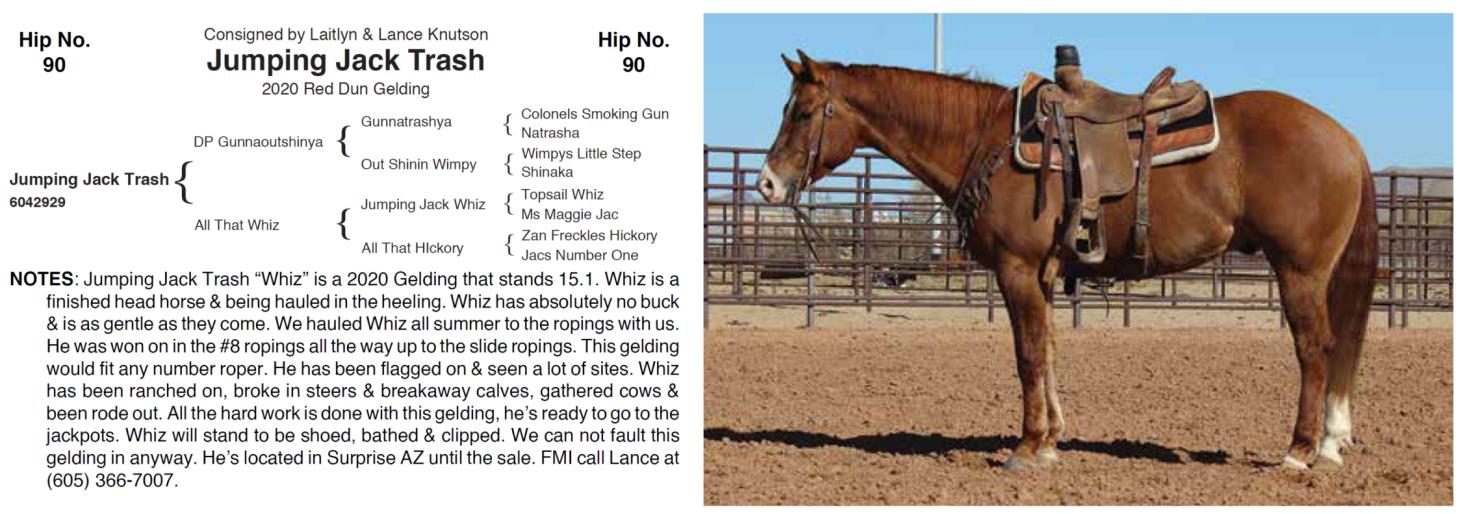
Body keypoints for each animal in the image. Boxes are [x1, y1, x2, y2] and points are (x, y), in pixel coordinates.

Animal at [756, 51, 1377, 470]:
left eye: (804, 112)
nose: (766, 183)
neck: (986, 141)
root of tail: (1346, 139)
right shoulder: (1045, 276)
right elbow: (1049, 350)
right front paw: (1052, 440)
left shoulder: (1016, 269)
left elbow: (1028, 354)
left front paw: (1027, 447)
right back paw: (1329, 444)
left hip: (1300, 272)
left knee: (1314, 349)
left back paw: (1299, 451)